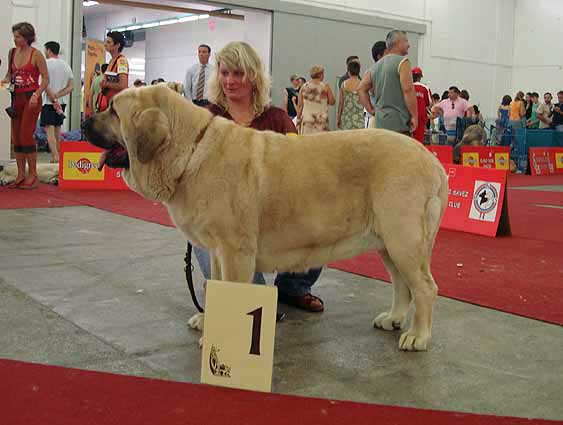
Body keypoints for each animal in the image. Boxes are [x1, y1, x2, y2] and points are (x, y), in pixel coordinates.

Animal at [81, 84, 450, 350]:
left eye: (113, 111)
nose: (83, 121)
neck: (189, 149)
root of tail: (432, 160)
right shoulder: (218, 251)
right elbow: (214, 284)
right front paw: (209, 319)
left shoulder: (235, 250)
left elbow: (230, 287)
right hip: (388, 243)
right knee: (402, 285)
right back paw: (393, 318)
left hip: (403, 238)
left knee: (424, 287)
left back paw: (418, 336)